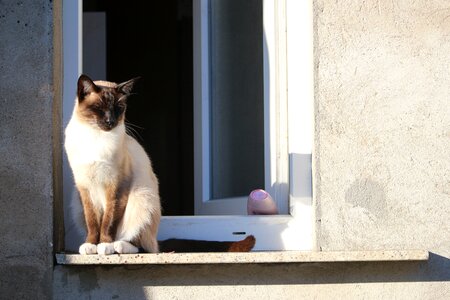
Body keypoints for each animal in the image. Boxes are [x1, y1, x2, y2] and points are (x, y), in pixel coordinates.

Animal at [63, 74, 255, 254]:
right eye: (99, 108)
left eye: (118, 109)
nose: (111, 121)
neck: (96, 137)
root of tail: (157, 240)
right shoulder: (84, 187)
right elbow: (92, 221)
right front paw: (90, 245)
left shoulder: (117, 186)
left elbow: (109, 221)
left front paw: (104, 245)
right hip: (76, 200)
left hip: (141, 198)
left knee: (144, 246)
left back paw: (118, 245)